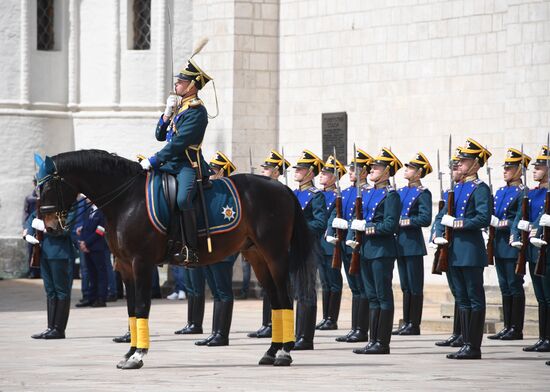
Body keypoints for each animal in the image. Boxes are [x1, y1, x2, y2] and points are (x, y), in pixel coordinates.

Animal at [37, 149, 314, 370]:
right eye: (38, 186)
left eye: (48, 187)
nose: (49, 226)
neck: (127, 199)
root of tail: (282, 188)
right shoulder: (124, 265)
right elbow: (131, 309)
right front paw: (129, 351)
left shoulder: (141, 263)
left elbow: (142, 306)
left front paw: (138, 355)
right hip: (257, 256)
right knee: (275, 300)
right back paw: (271, 351)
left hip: (275, 254)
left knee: (284, 298)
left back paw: (284, 352)